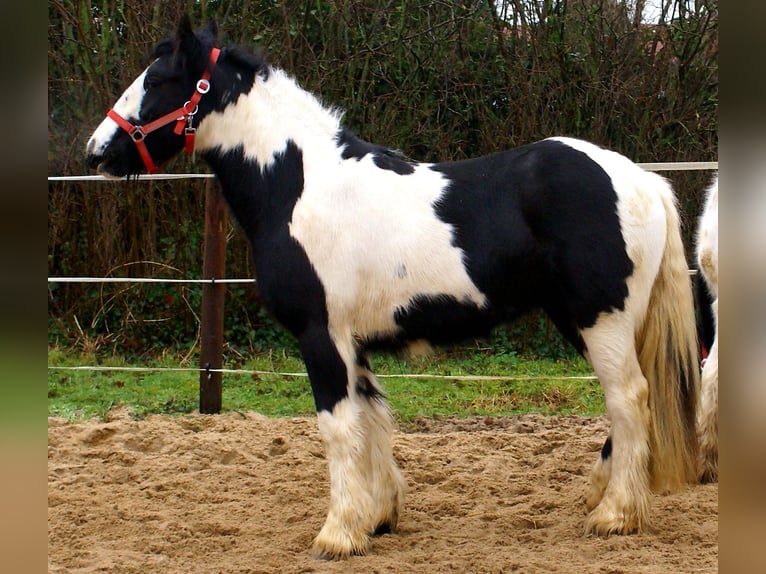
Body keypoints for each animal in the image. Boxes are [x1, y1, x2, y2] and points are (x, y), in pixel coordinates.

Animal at [85, 15, 704, 560]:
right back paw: (599, 495)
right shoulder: (353, 343)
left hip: (601, 319)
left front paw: (337, 534)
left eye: (157, 80)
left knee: (629, 398)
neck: (299, 185)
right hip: (584, 320)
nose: (96, 151)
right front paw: (377, 517)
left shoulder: (320, 336)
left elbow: (337, 429)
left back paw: (616, 515)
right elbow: (373, 422)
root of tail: (639, 178)